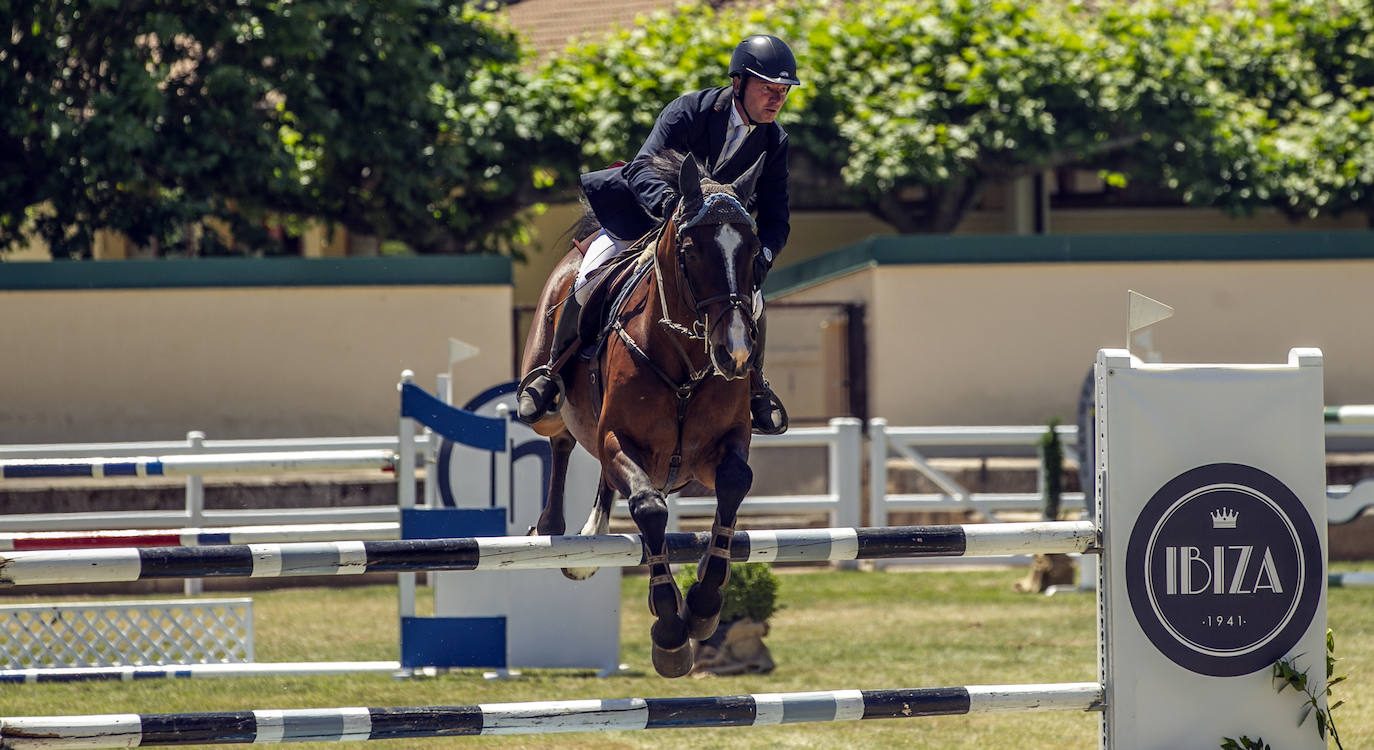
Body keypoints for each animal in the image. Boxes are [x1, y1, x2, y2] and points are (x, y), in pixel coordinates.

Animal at [519, 151, 769, 675]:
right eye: (691, 249)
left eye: (754, 250)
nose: (735, 354)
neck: (684, 357)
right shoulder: (620, 439)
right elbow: (650, 509)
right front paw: (671, 631)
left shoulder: (718, 449)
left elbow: (734, 484)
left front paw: (703, 604)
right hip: (547, 397)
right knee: (560, 434)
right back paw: (554, 528)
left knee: (604, 478)